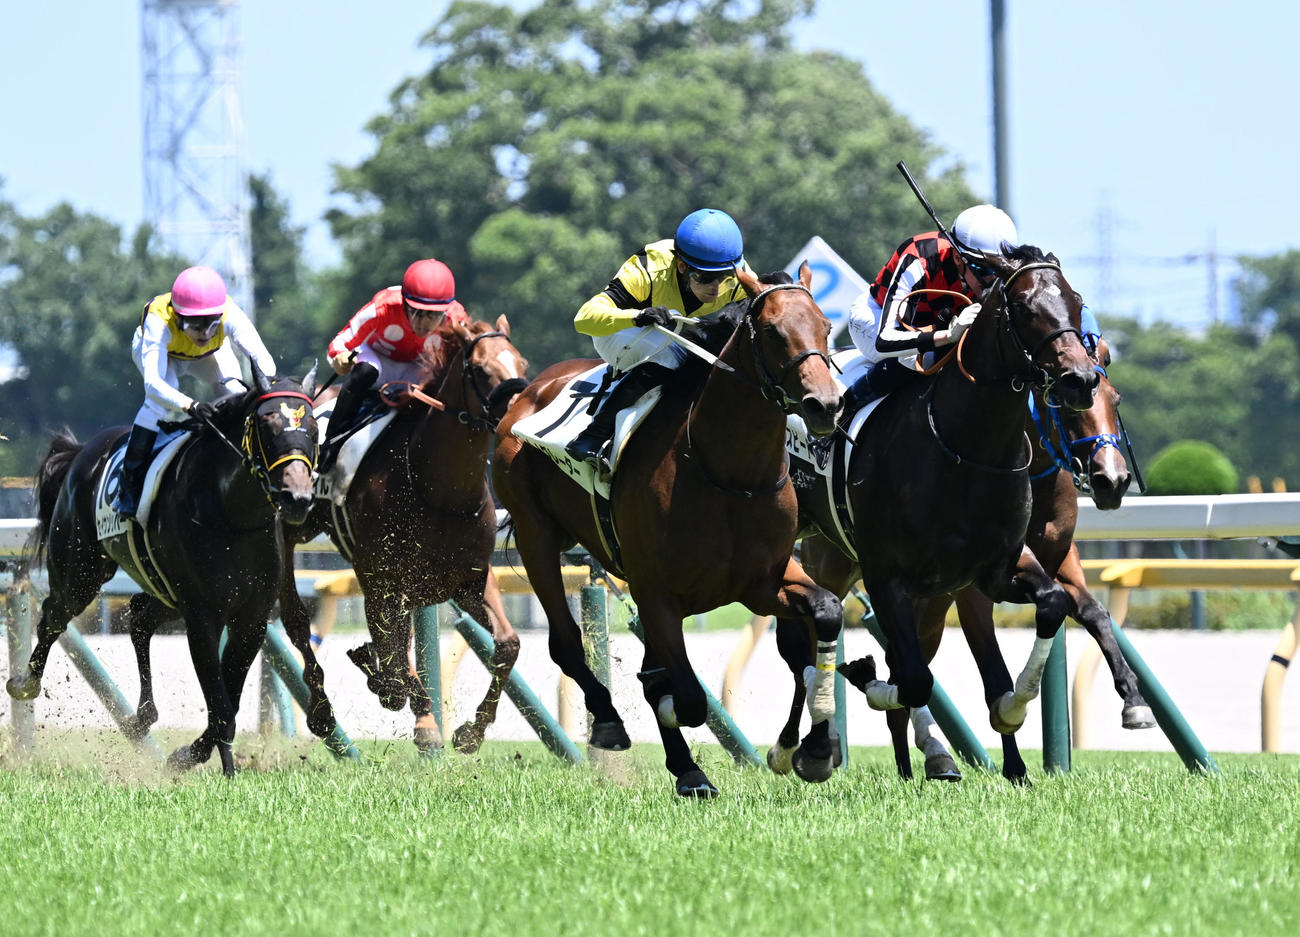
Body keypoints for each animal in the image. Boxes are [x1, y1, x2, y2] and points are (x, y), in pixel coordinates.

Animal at [6, 364, 320, 775]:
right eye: (267, 424)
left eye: (312, 427)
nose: (297, 498)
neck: (232, 514)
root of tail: (80, 453)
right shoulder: (202, 616)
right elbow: (221, 703)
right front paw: (223, 768)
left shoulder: (250, 618)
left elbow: (229, 699)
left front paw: (192, 755)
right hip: (80, 572)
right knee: (53, 616)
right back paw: (25, 682)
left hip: (164, 591)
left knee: (139, 617)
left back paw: (142, 717)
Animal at [274, 316, 530, 754]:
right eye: (480, 369)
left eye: (522, 363)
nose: (517, 415)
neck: (439, 491)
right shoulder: (380, 582)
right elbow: (395, 665)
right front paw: (423, 721)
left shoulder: (471, 580)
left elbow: (507, 644)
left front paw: (471, 731)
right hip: (296, 527)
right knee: (297, 620)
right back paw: (323, 711)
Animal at [493, 264, 845, 798]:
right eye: (771, 331)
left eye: (825, 326)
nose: (824, 405)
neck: (727, 473)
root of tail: (529, 389)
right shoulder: (657, 593)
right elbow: (685, 696)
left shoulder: (764, 583)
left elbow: (821, 620)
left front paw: (811, 750)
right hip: (537, 535)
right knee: (566, 642)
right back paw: (615, 725)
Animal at [775, 244, 1100, 772]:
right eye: (1025, 308)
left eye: (1075, 302)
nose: (1081, 380)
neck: (967, 449)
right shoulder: (887, 576)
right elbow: (911, 677)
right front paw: (862, 676)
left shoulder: (994, 569)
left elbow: (1051, 602)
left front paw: (1010, 709)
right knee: (797, 638)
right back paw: (800, 747)